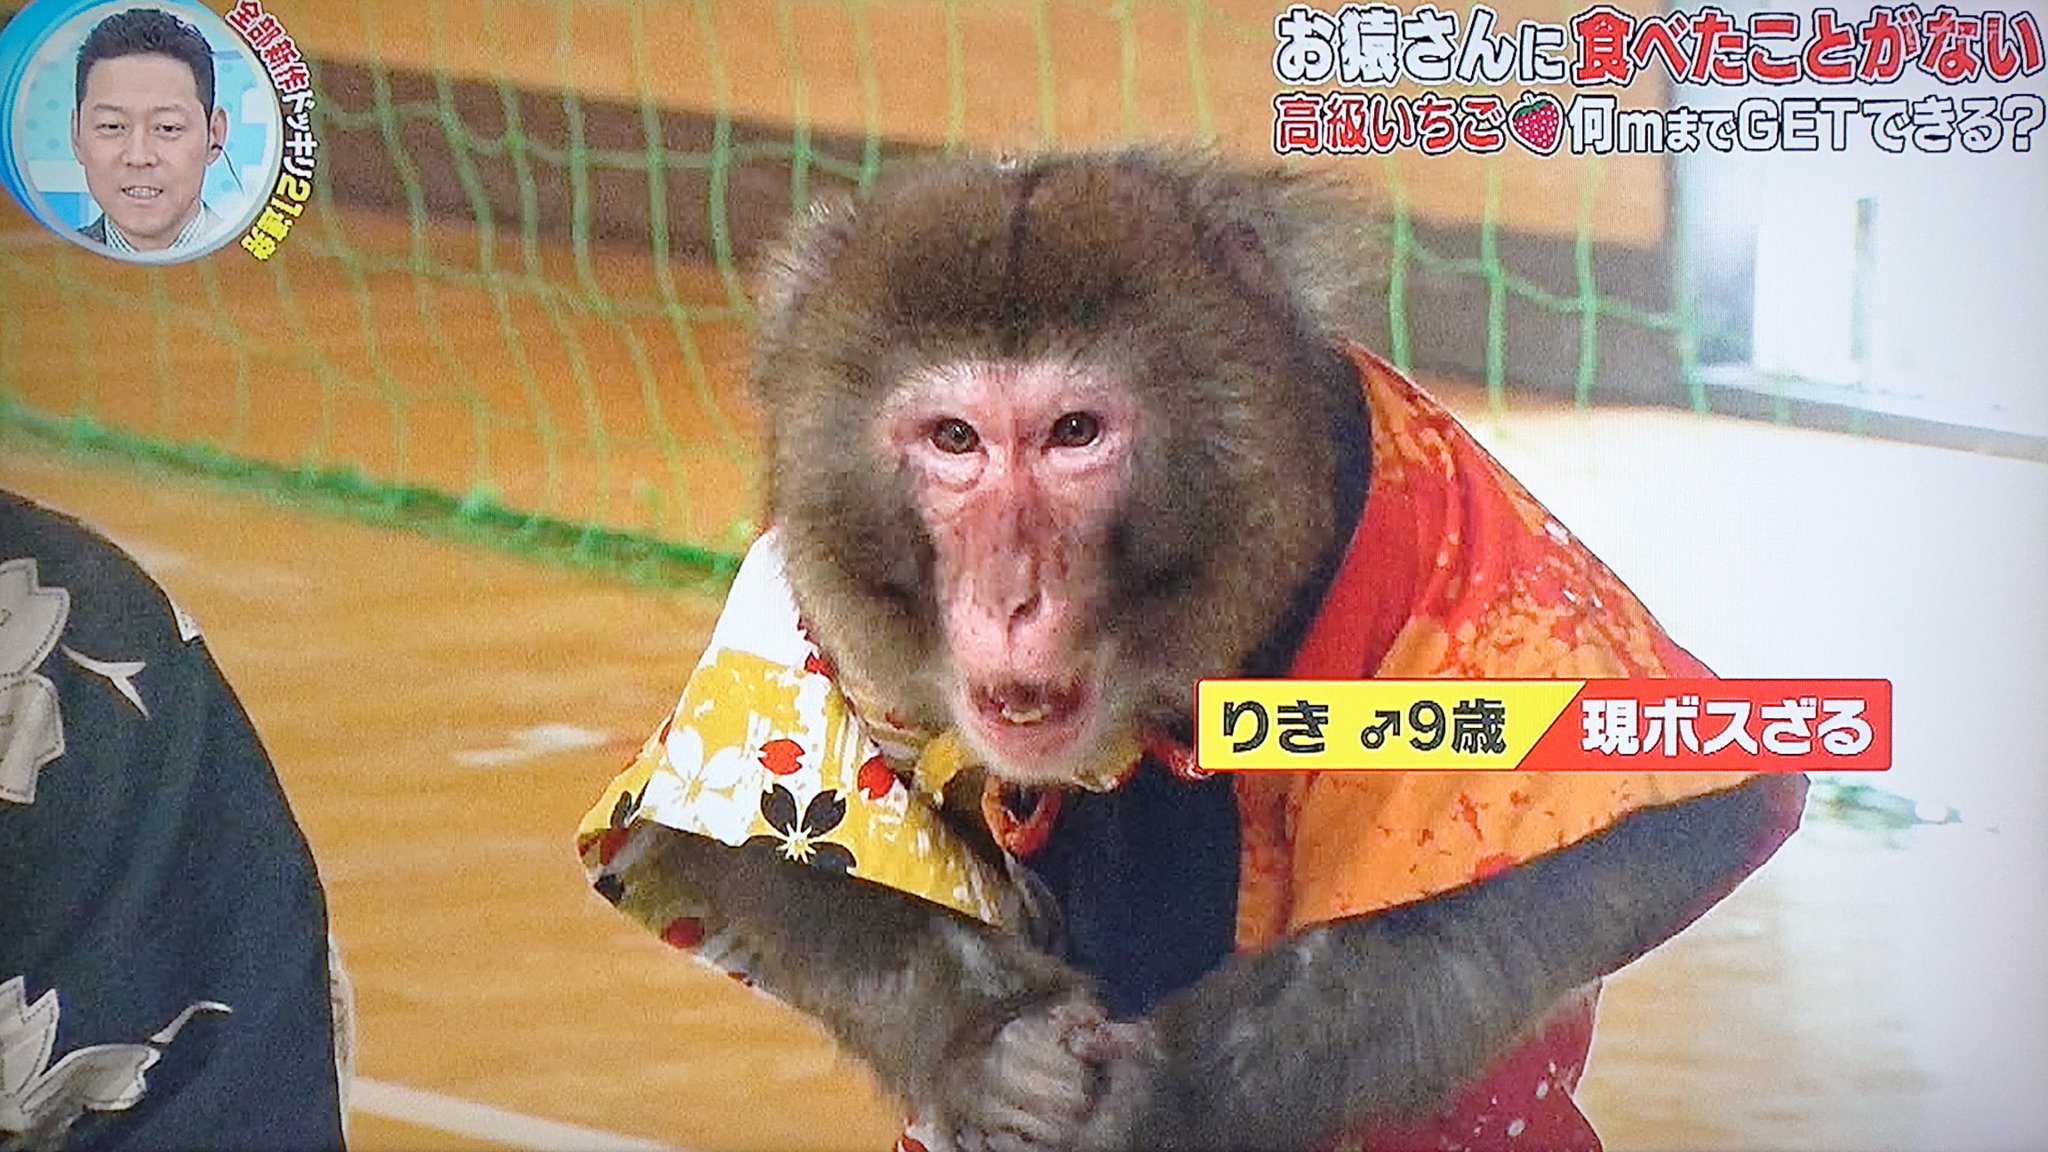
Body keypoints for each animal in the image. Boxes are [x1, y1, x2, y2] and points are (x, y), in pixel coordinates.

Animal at [580, 147, 1808, 1152]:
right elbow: (729, 841)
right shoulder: (824, 604)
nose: (1012, 597)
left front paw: (1164, 1094)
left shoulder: (1444, 540)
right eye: (955, 439)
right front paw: (992, 1046)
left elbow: (1609, 855)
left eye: (1074, 433)